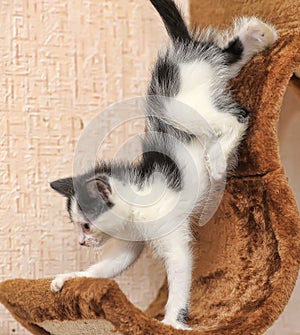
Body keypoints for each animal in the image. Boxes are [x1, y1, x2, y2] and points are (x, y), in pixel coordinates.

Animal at [49, 0, 276, 330]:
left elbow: (179, 272)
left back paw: (217, 160)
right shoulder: (129, 241)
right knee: (228, 56)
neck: (137, 200)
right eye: (77, 226)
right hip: (205, 81)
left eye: (86, 225)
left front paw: (171, 321)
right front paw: (72, 277)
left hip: (182, 109)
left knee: (238, 116)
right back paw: (261, 34)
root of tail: (182, 52)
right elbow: (109, 266)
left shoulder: (171, 234)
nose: (81, 242)